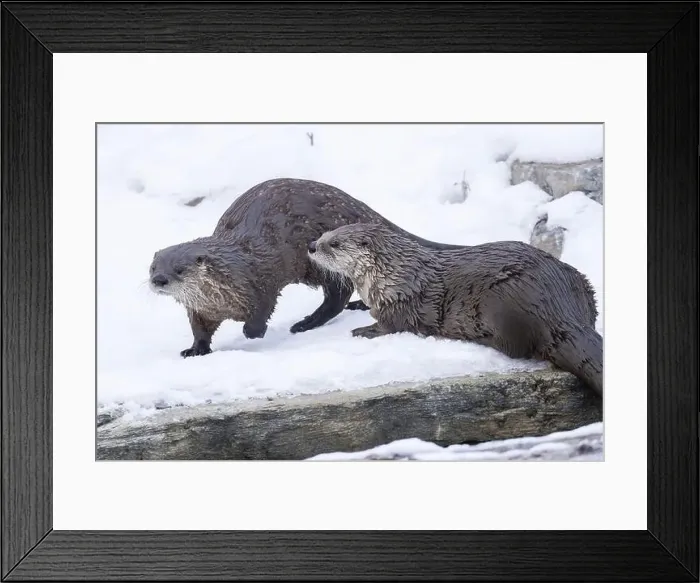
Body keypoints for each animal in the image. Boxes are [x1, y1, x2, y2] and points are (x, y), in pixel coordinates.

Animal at [149, 178, 463, 357]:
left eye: (179, 269)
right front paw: (195, 350)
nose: (159, 280)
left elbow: (262, 310)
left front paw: (253, 333)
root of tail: (356, 206)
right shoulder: (200, 311)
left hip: (320, 262)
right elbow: (200, 331)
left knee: (338, 295)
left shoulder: (262, 282)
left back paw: (304, 324)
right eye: (152, 267)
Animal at [308, 223, 603, 397]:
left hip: (505, 300)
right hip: (583, 287)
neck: (392, 276)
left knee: (515, 347)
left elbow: (391, 326)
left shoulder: (399, 304)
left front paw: (362, 330)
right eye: (322, 235)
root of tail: (560, 308)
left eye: (334, 244)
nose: (311, 246)